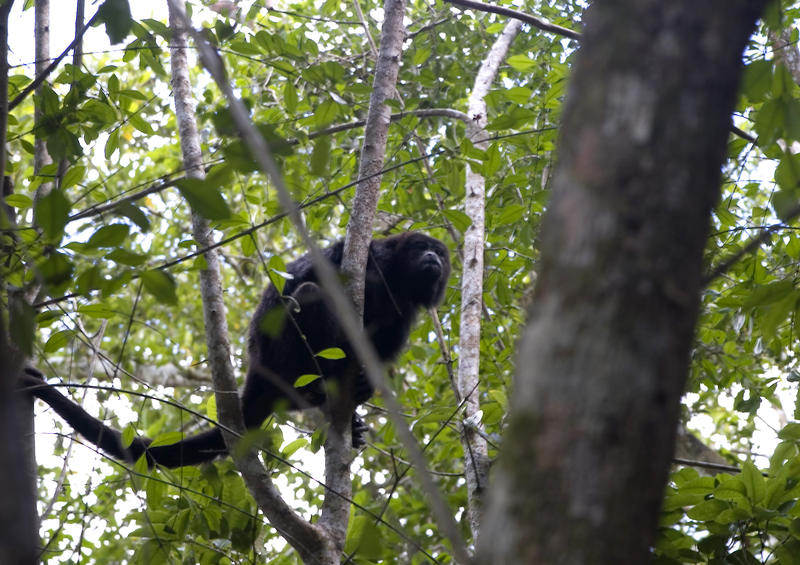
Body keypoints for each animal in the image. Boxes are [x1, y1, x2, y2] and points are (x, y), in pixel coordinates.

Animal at [18, 231, 450, 470]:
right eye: (420, 248)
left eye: (440, 253)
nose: (433, 257)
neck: (397, 278)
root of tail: (258, 372)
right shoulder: (368, 254)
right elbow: (311, 272)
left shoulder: (406, 308)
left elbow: (387, 342)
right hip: (281, 357)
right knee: (310, 294)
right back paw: (322, 382)